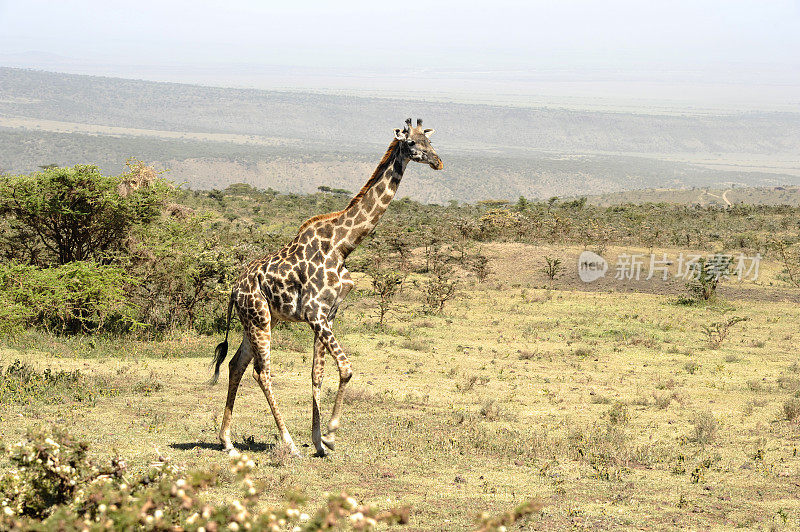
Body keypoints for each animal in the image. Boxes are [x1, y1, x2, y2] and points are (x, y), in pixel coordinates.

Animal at [209, 118, 440, 456]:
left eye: (430, 141)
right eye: (412, 143)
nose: (438, 161)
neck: (343, 245)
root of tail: (233, 290)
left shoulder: (328, 315)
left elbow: (317, 375)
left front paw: (319, 442)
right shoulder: (315, 314)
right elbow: (345, 369)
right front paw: (330, 434)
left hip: (254, 321)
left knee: (236, 365)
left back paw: (227, 441)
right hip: (260, 320)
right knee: (261, 372)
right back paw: (288, 443)